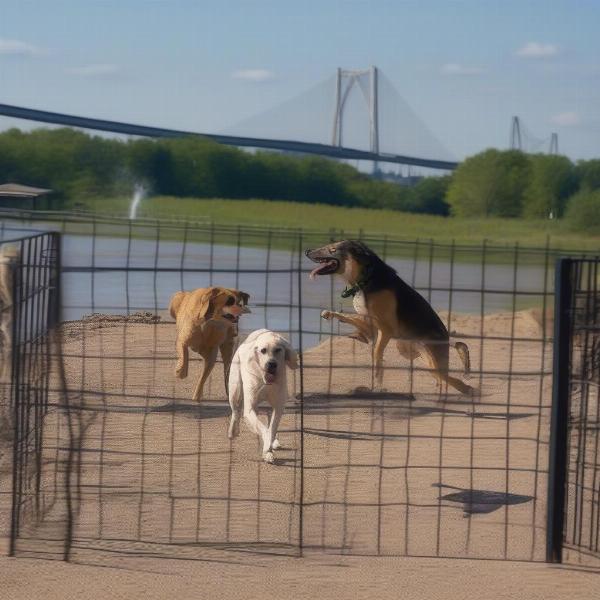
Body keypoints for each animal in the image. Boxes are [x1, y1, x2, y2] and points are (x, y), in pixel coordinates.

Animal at [227, 328, 298, 464]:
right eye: (263, 350)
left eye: (278, 350)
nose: (271, 364)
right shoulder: (249, 409)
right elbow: (264, 429)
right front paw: (267, 448)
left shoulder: (278, 407)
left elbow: (272, 428)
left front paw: (269, 450)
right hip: (235, 390)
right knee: (235, 411)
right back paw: (232, 432)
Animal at [308, 239, 472, 394]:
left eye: (332, 249)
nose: (307, 251)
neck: (366, 279)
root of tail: (446, 339)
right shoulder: (369, 323)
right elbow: (347, 317)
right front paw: (329, 314)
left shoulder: (386, 329)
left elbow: (376, 354)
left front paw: (377, 381)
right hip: (408, 349)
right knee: (441, 375)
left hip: (430, 356)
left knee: (448, 377)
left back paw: (467, 389)